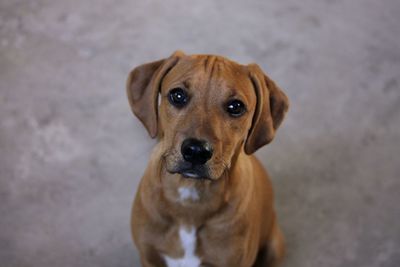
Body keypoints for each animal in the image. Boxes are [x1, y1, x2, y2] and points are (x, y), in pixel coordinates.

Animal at [126, 51, 290, 266]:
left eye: (236, 106)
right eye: (177, 95)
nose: (196, 151)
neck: (190, 201)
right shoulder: (149, 257)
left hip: (274, 247)